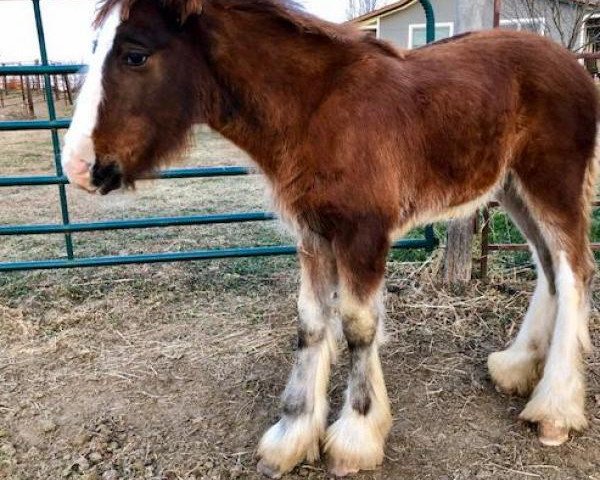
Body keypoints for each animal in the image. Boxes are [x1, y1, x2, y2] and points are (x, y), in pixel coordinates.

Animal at [62, 0, 600, 476]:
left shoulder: (363, 234)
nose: (79, 167)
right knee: (549, 268)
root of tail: (574, 65)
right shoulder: (314, 235)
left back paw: (555, 410)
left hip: (552, 184)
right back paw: (518, 367)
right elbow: (311, 322)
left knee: (574, 271)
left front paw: (356, 437)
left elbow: (359, 326)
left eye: (135, 54)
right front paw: (292, 436)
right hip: (512, 187)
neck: (314, 110)